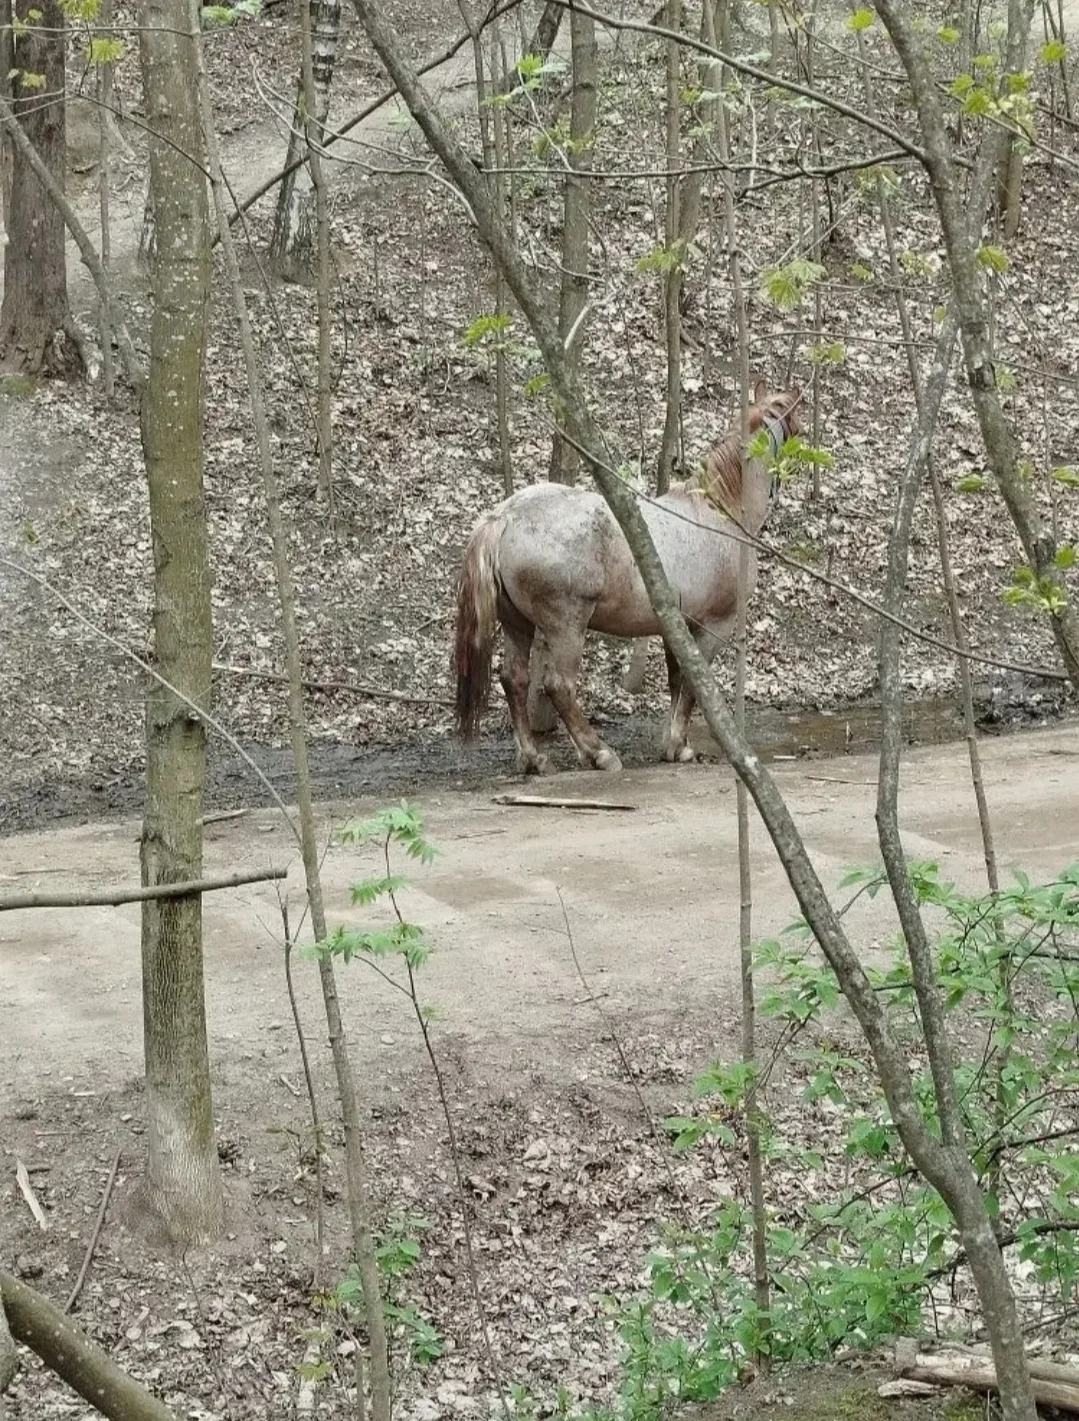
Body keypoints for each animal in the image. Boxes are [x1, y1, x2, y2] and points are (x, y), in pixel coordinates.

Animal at [453, 380, 803, 774]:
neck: (718, 512)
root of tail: (505, 516)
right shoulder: (714, 625)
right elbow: (694, 685)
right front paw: (678, 747)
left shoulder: (676, 626)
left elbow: (677, 681)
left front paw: (673, 744)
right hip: (566, 625)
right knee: (559, 685)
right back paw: (598, 753)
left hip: (517, 624)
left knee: (514, 680)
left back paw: (533, 758)